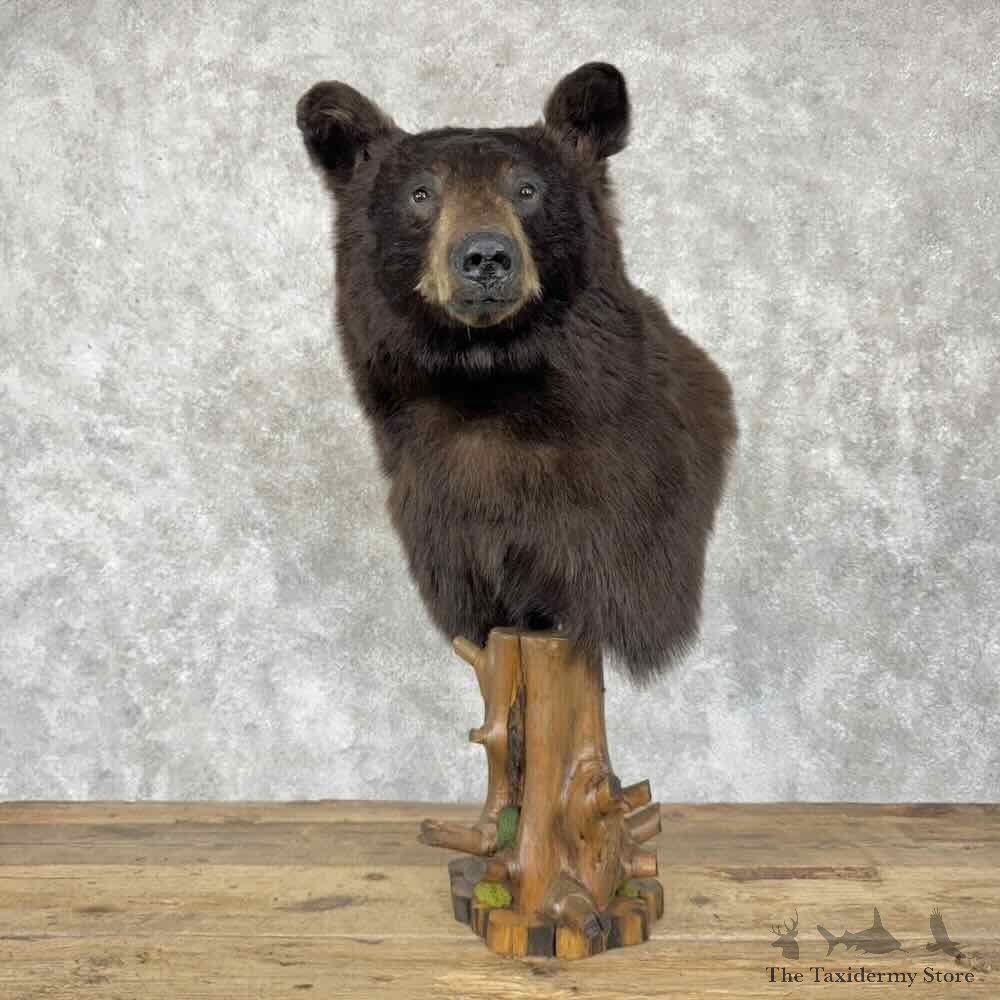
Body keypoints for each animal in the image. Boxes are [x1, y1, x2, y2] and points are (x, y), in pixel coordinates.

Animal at [296, 62, 738, 687]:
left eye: (526, 190)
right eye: (421, 193)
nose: (485, 256)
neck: (494, 388)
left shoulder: (628, 509)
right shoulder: (439, 512)